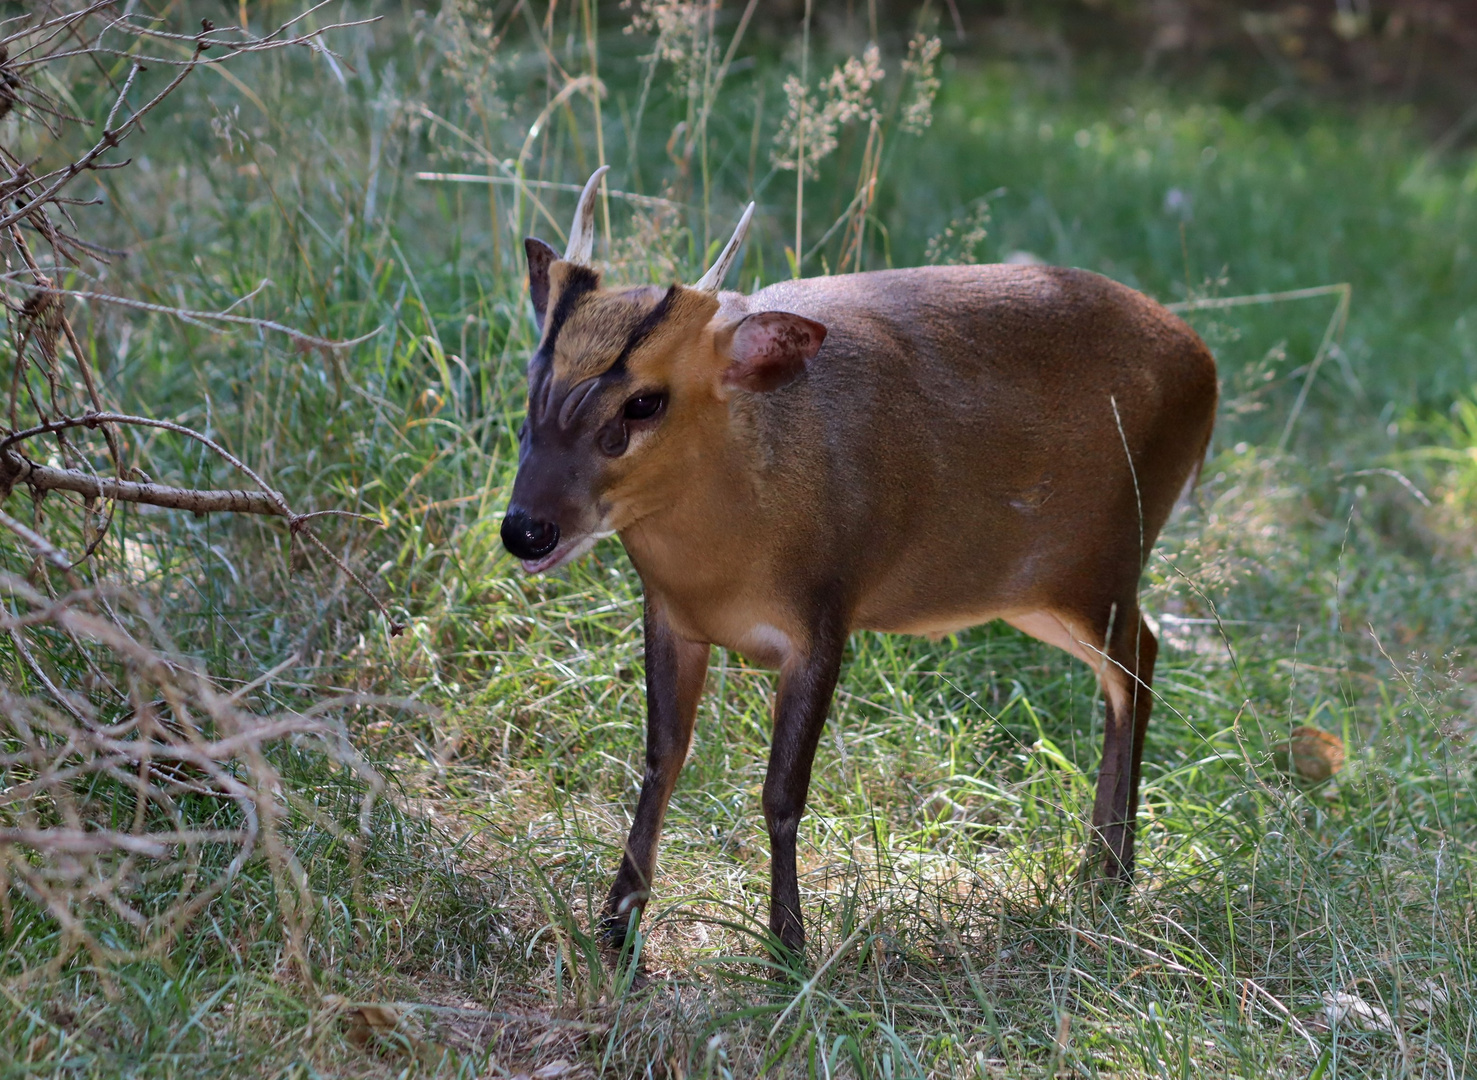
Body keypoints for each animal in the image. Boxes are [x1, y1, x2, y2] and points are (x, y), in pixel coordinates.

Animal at [502, 166, 1217, 957]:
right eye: (533, 380)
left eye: (643, 403)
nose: (525, 530)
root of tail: (1205, 363)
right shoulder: (668, 613)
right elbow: (662, 759)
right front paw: (617, 925)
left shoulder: (824, 612)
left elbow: (782, 792)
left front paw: (788, 945)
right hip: (1037, 593)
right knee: (1131, 663)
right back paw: (1098, 868)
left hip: (1108, 560)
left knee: (1136, 665)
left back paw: (1113, 875)